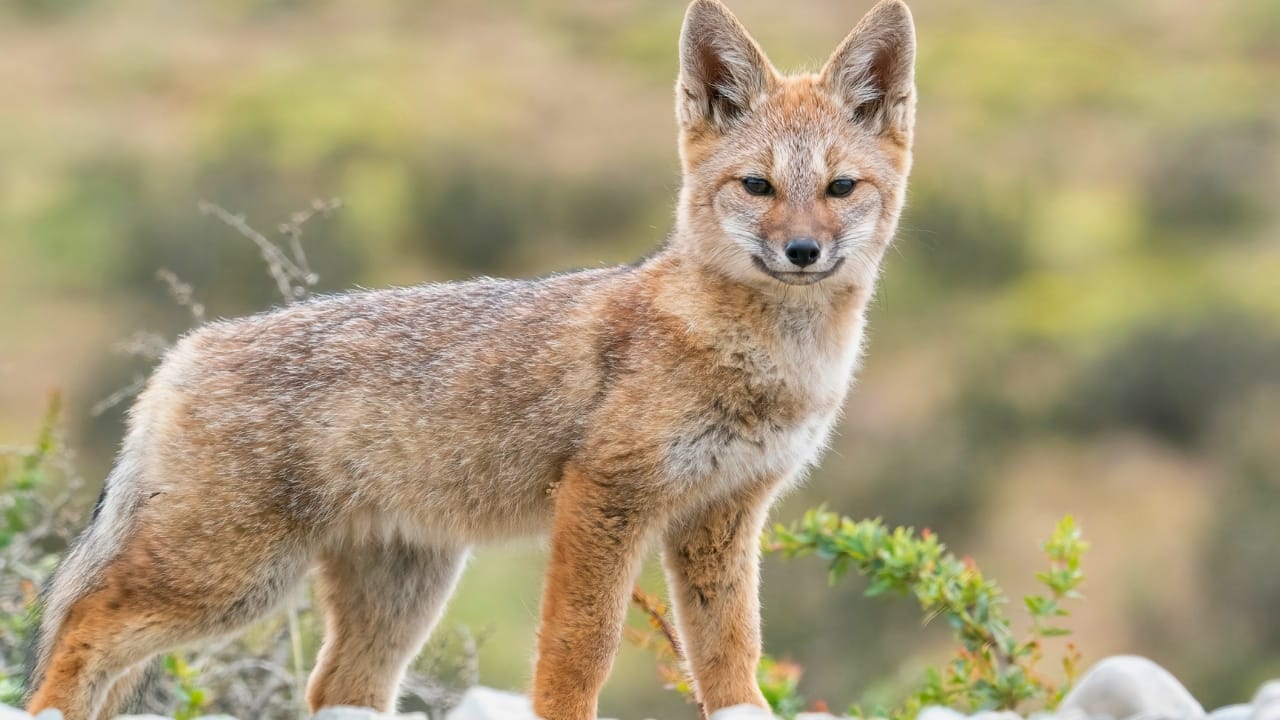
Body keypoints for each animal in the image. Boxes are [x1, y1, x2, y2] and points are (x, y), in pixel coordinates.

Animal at [24, 1, 916, 718]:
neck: (761, 360)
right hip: (230, 578)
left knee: (334, 688)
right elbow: (579, 649)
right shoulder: (605, 497)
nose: (802, 252)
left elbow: (732, 653)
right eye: (757, 186)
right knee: (83, 624)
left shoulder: (723, 515)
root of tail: (186, 348)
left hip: (397, 592)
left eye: (839, 188)